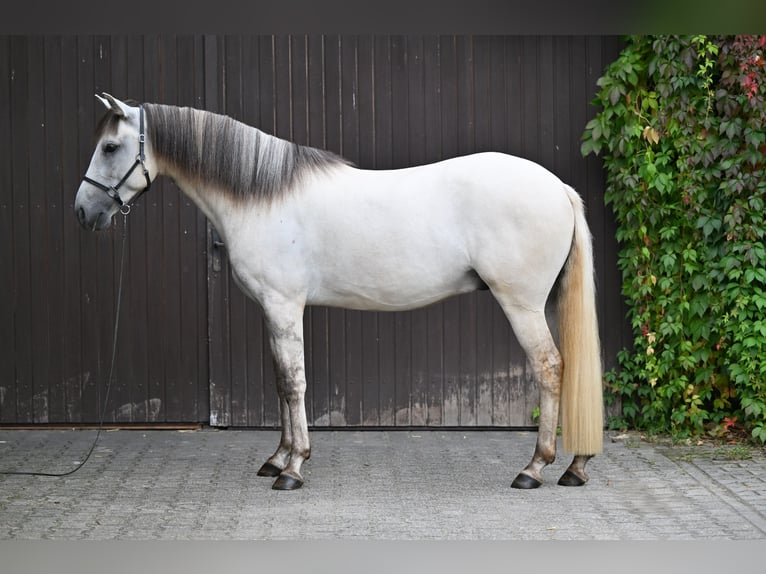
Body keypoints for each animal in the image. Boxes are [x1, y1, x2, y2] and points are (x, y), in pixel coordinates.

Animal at [76, 93, 608, 490]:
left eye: (110, 147)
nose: (84, 211)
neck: (262, 197)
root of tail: (558, 187)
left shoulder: (284, 306)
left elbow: (294, 382)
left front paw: (293, 468)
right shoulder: (274, 311)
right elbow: (280, 383)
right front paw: (277, 458)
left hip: (522, 305)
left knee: (550, 368)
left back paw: (534, 467)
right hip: (549, 303)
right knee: (570, 367)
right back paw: (575, 467)